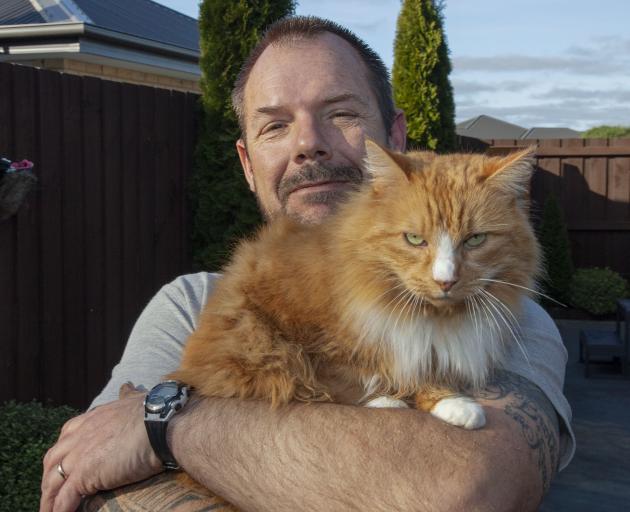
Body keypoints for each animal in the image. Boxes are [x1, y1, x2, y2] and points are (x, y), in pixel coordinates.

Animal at [172, 138, 544, 430]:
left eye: (475, 240)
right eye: (414, 239)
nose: (445, 280)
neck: (428, 316)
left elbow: (425, 371)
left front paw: (450, 401)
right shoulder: (300, 342)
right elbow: (336, 379)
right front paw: (388, 400)